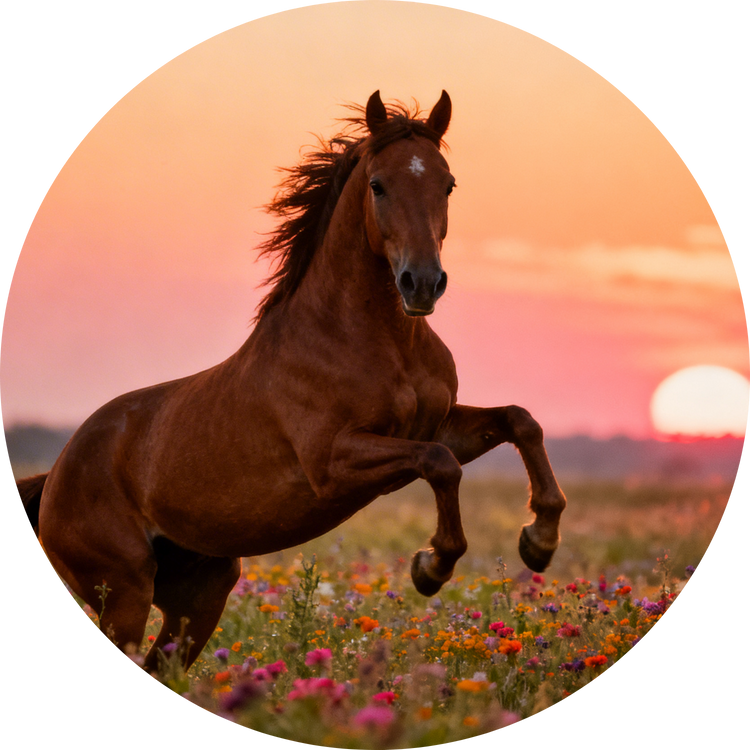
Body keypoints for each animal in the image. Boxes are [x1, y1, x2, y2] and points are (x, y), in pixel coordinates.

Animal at [14, 90, 566, 673]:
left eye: (448, 183)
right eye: (378, 185)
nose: (421, 283)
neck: (377, 341)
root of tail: (54, 477)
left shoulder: (435, 425)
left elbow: (519, 422)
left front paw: (539, 540)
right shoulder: (333, 462)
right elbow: (440, 464)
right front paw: (431, 566)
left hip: (200, 595)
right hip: (124, 595)